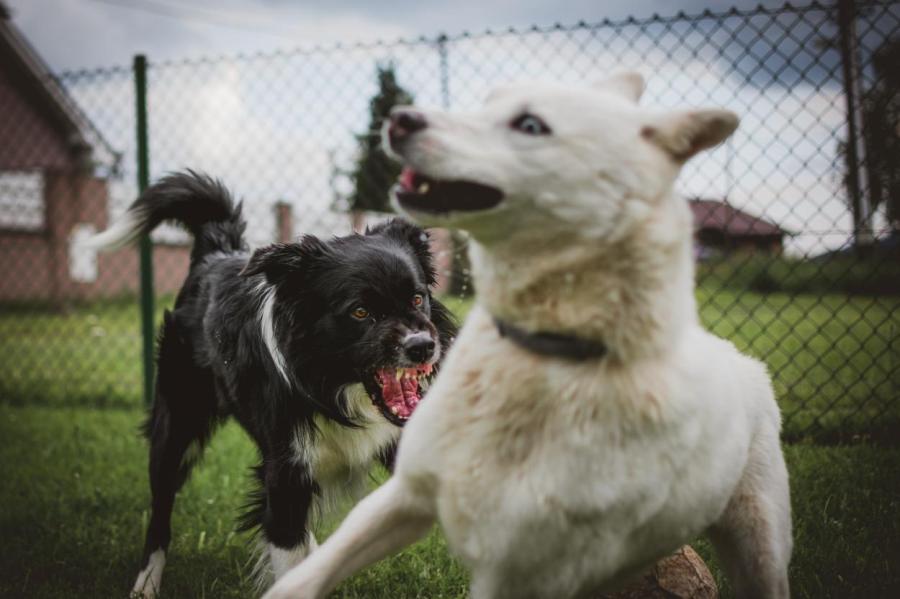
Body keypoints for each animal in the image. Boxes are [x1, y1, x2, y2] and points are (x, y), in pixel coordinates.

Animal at [86, 171, 458, 596]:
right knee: (160, 515)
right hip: (175, 426)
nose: (423, 346)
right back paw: (145, 584)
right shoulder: (285, 474)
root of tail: (216, 253)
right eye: (360, 312)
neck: (333, 387)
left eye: (417, 299)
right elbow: (288, 552)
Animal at [264, 72, 792, 596]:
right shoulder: (403, 495)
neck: (536, 363)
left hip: (759, 540)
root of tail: (741, 359)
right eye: (359, 312)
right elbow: (304, 573)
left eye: (531, 124)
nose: (400, 118)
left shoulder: (523, 569)